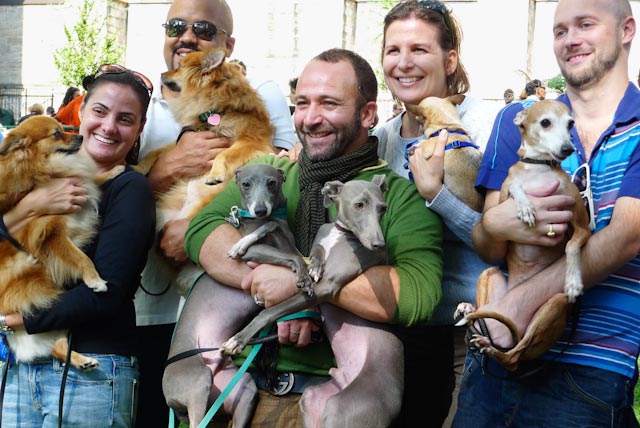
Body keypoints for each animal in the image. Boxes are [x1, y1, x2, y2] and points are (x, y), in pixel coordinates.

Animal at [0, 115, 120, 370]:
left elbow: (91, 178)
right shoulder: (51, 234)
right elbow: (80, 258)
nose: (81, 136)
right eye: (56, 133)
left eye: (64, 129)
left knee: (58, 347)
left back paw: (84, 362)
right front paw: (95, 280)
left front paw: (114, 170)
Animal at [134, 47, 274, 294]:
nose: (161, 72)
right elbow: (157, 152)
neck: (212, 110)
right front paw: (140, 167)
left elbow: (224, 155)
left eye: (179, 68)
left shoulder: (251, 141)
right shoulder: (187, 138)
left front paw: (215, 174)